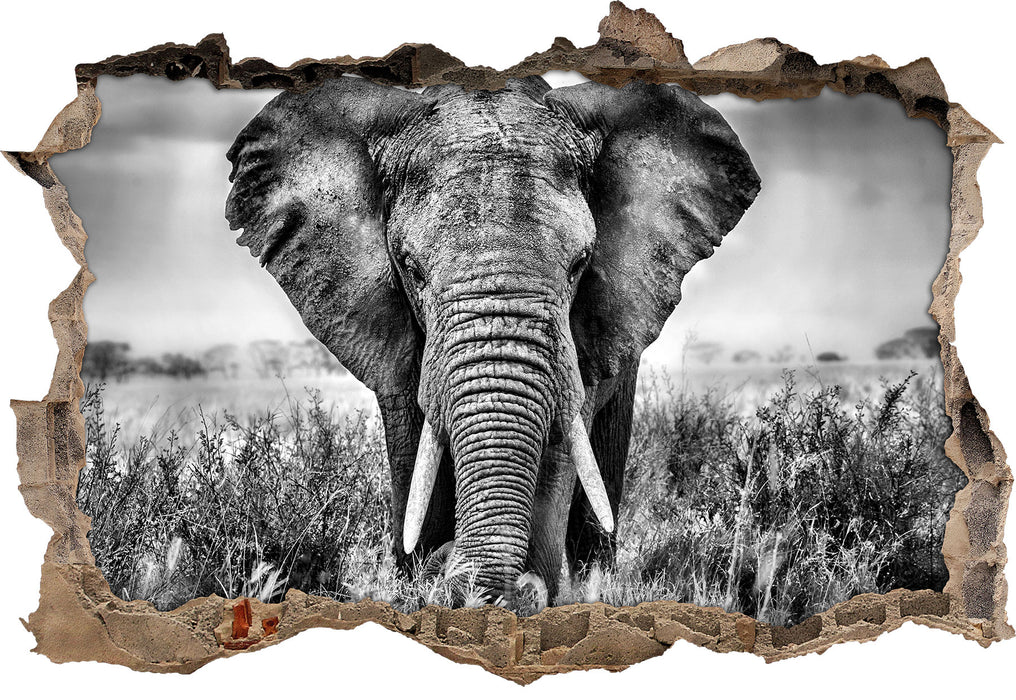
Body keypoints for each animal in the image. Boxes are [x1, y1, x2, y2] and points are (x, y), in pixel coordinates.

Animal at [225, 75, 760, 605]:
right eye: (411, 269)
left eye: (580, 265)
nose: (450, 565)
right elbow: (414, 448)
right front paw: (420, 580)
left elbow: (560, 448)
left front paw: (529, 594)